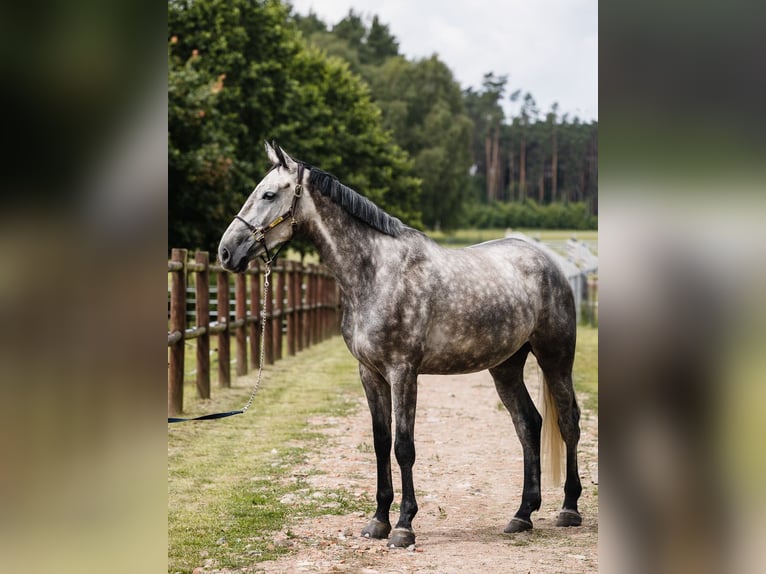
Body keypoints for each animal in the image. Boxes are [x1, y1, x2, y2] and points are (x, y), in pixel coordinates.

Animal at [219, 143, 584, 548]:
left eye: (268, 195)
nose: (225, 252)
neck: (377, 272)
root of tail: (549, 263)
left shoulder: (403, 371)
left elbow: (403, 446)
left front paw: (405, 526)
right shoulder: (370, 374)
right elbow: (380, 443)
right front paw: (378, 521)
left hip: (555, 357)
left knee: (568, 422)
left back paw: (569, 509)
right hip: (505, 367)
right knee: (529, 424)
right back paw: (522, 514)